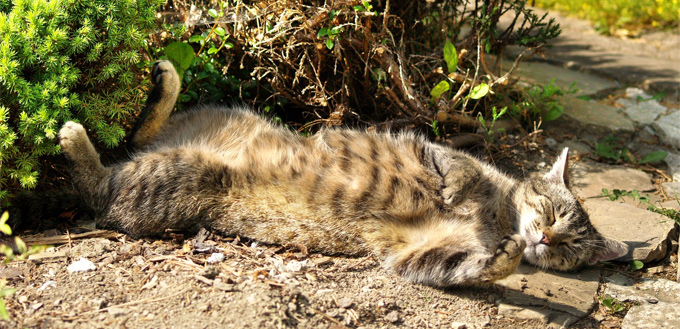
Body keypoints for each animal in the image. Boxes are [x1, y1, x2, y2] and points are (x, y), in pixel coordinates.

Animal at [58, 60, 628, 286]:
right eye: (551, 211)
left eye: (572, 247)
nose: (547, 239)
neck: (499, 217)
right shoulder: (432, 150)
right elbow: (460, 167)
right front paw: (456, 188)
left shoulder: (416, 250)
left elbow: (466, 266)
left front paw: (503, 261)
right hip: (183, 163)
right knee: (103, 181)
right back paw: (88, 127)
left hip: (176, 169)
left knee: (121, 162)